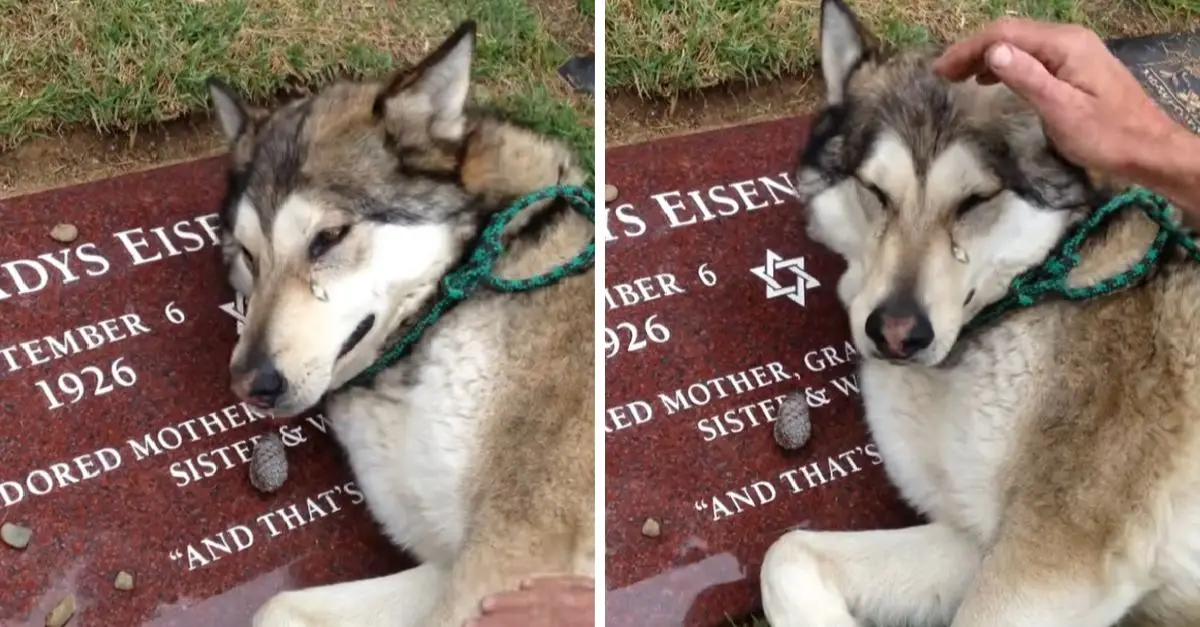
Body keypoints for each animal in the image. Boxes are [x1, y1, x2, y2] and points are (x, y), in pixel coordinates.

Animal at [208, 21, 597, 624]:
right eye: (248, 256)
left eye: (328, 238)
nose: (251, 384)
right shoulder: (446, 567)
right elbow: (277, 603)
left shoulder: (508, 559)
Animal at [763, 1, 1200, 624]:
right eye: (875, 191)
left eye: (975, 200)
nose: (896, 334)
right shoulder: (973, 539)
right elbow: (785, 552)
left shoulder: (1050, 562)